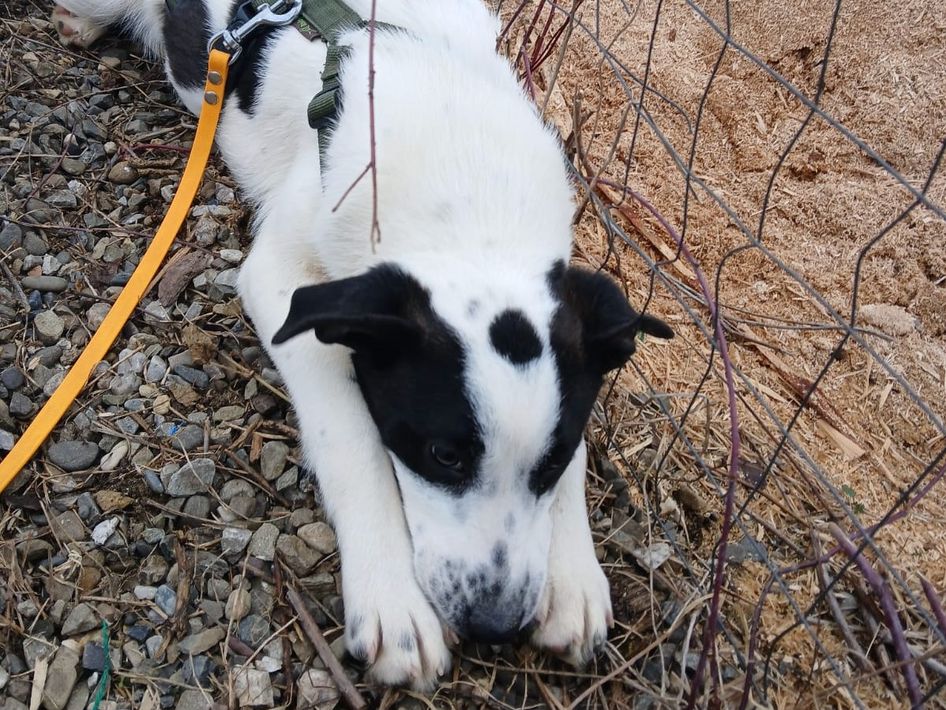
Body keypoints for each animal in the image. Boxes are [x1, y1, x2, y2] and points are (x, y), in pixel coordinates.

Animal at [52, 0, 673, 689]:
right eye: (442, 455)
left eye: (553, 460)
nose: (495, 626)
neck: (467, 183)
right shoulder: (285, 281)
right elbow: (351, 440)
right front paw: (392, 597)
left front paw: (573, 574)